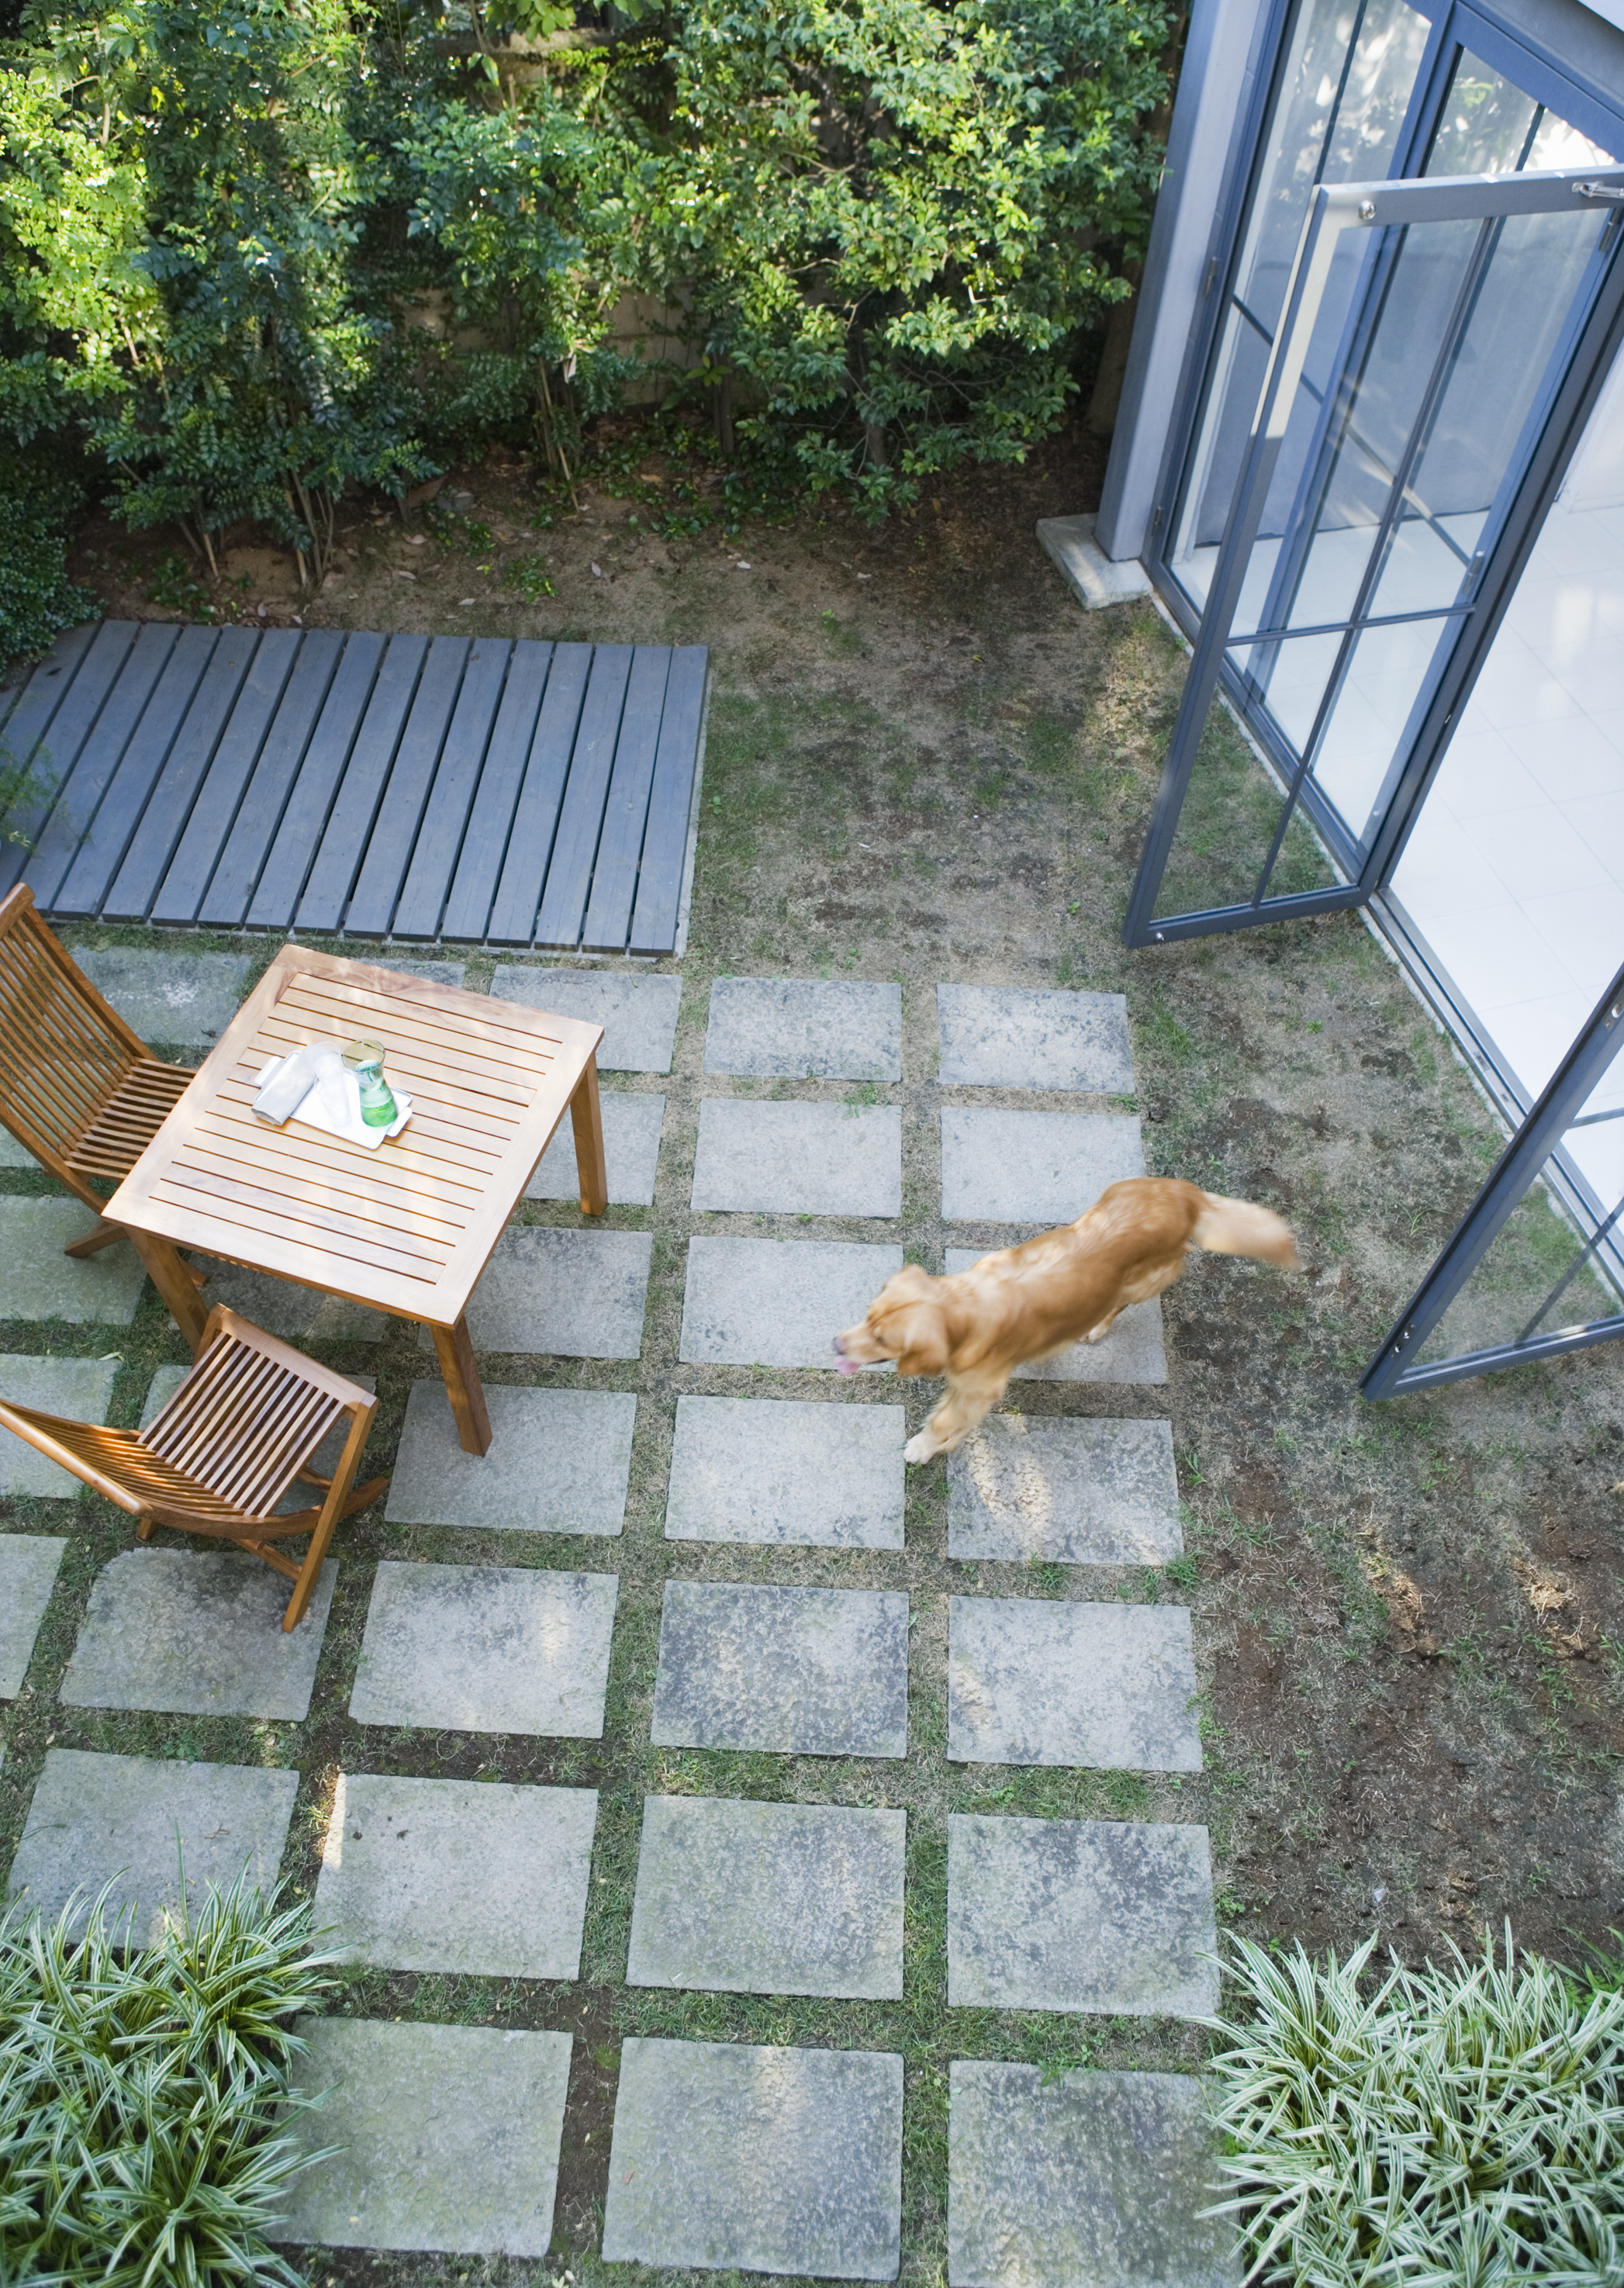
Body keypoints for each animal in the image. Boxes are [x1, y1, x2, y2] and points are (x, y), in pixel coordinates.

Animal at [832, 1180, 1308, 1464]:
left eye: (881, 1339)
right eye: (867, 1315)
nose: (835, 1345)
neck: (964, 1303)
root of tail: (1188, 1194)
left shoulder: (980, 1390)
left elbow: (945, 1422)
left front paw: (925, 1446)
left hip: (1142, 1283)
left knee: (1116, 1306)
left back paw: (1094, 1328)